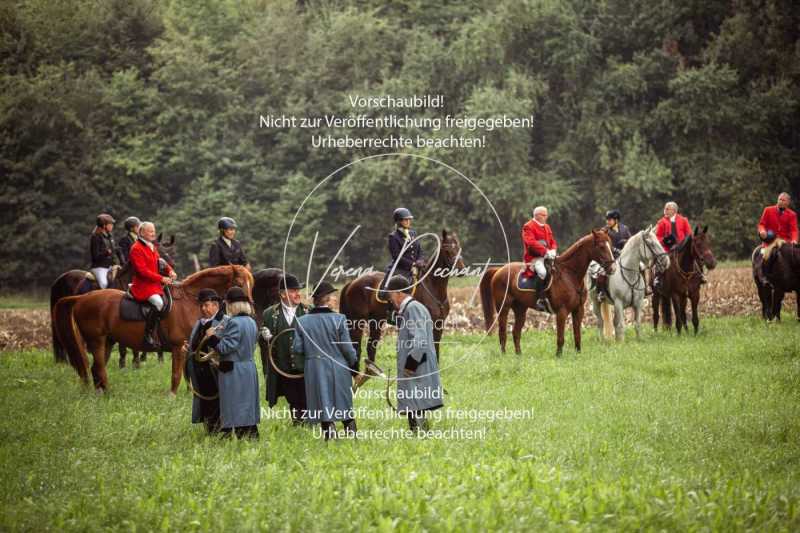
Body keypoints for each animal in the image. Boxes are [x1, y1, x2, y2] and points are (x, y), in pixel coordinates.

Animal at [49, 235, 177, 368]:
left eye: (169, 251)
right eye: (159, 251)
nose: (172, 266)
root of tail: (59, 279)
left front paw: (136, 361)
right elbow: (123, 344)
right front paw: (124, 363)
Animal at [52, 264, 253, 392]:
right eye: (239, 284)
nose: (249, 310)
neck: (190, 300)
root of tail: (82, 298)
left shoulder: (189, 347)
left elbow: (187, 373)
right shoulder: (178, 347)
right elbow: (176, 374)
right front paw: (172, 395)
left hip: (107, 342)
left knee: (96, 369)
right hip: (96, 341)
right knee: (99, 368)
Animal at [336, 229, 462, 370]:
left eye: (458, 247)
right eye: (447, 249)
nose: (462, 270)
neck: (432, 288)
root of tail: (352, 282)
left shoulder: (438, 325)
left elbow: (436, 348)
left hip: (376, 321)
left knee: (370, 347)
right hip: (357, 322)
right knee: (356, 347)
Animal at [478, 230, 616, 358]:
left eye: (610, 244)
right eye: (601, 246)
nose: (613, 268)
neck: (570, 275)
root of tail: (499, 270)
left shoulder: (579, 309)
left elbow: (577, 334)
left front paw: (578, 353)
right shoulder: (562, 311)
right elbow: (560, 337)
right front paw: (558, 355)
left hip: (520, 309)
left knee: (516, 332)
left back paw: (519, 355)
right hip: (503, 308)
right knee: (502, 332)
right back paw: (504, 355)